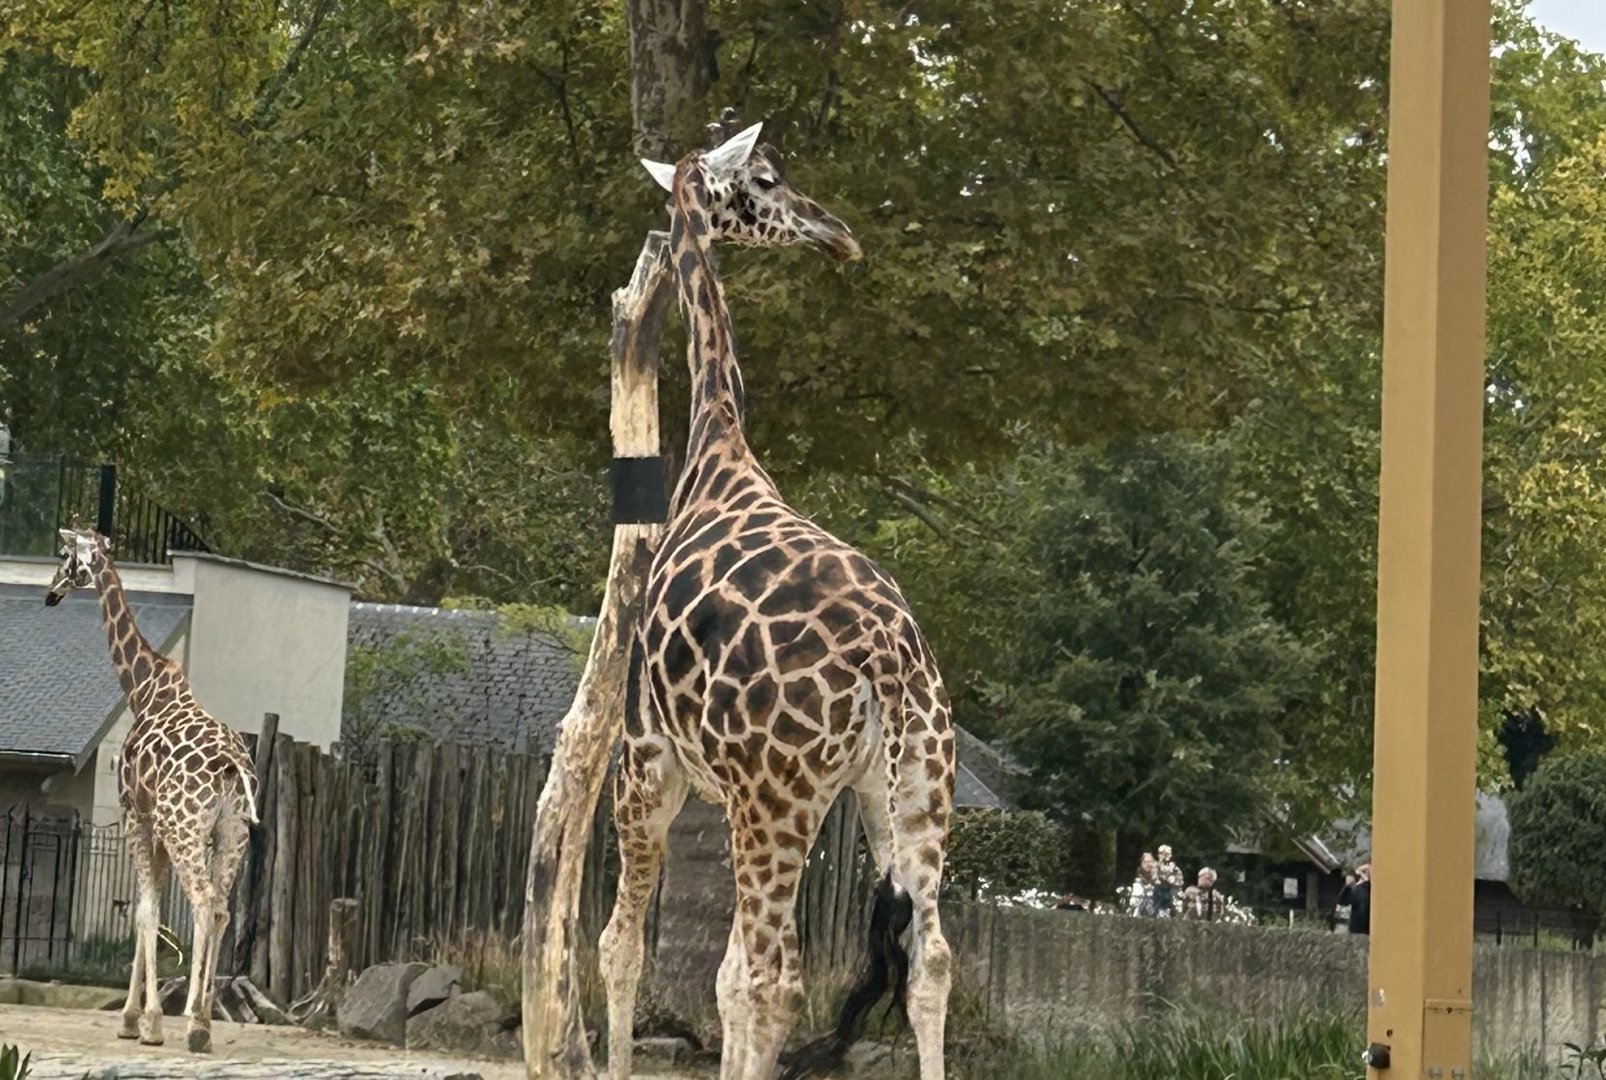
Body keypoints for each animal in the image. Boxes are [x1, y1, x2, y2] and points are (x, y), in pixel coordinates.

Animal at [45, 527, 259, 1054]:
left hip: (186, 831)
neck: (142, 687)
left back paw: (194, 1023)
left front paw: (142, 1021)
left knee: (203, 901)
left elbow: (144, 913)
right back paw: (203, 1019)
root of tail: (231, 767)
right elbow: (152, 913)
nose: (51, 592)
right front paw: (142, 1017)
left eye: (66, 557)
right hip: (233, 835)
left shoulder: (135, 816)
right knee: (221, 908)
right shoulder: (157, 828)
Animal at [598, 121, 955, 1080]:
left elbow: (627, 949)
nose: (837, 233)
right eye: (766, 178)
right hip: (906, 790)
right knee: (931, 963)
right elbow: (713, 979)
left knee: (775, 975)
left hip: (776, 800)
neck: (716, 447)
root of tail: (889, 656)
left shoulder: (648, 757)